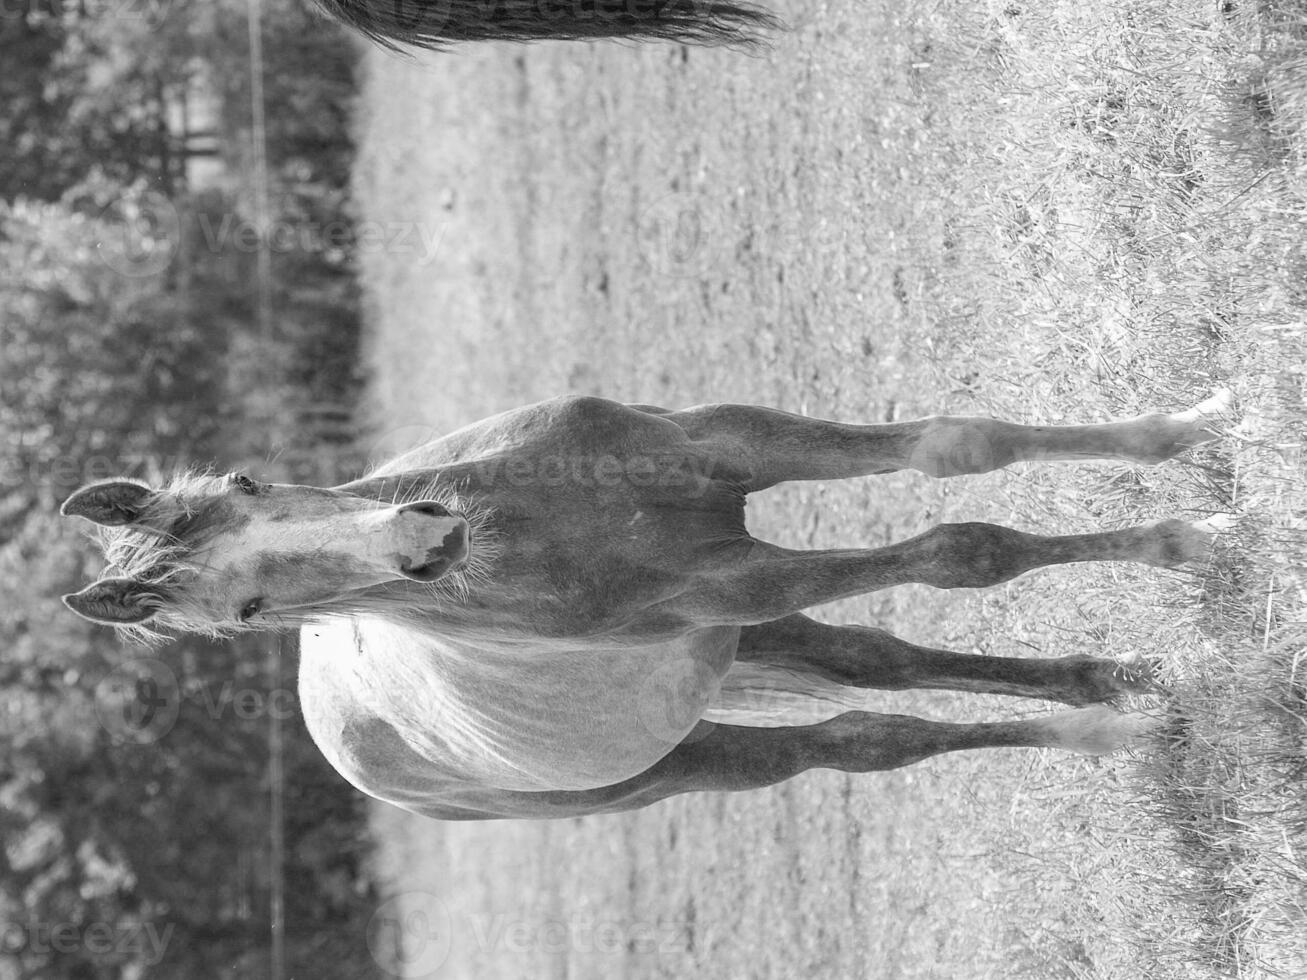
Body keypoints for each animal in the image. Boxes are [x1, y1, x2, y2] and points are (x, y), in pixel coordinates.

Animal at [58, 391, 1233, 820]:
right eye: (243, 608)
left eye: (249, 481)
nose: (428, 540)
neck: (538, 521)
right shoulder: (725, 580)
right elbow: (962, 553)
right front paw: (1196, 536)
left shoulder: (731, 456)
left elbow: (961, 447)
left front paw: (1195, 439)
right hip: (685, 748)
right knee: (867, 737)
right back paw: (1111, 724)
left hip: (733, 651)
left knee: (878, 671)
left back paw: (1115, 696)